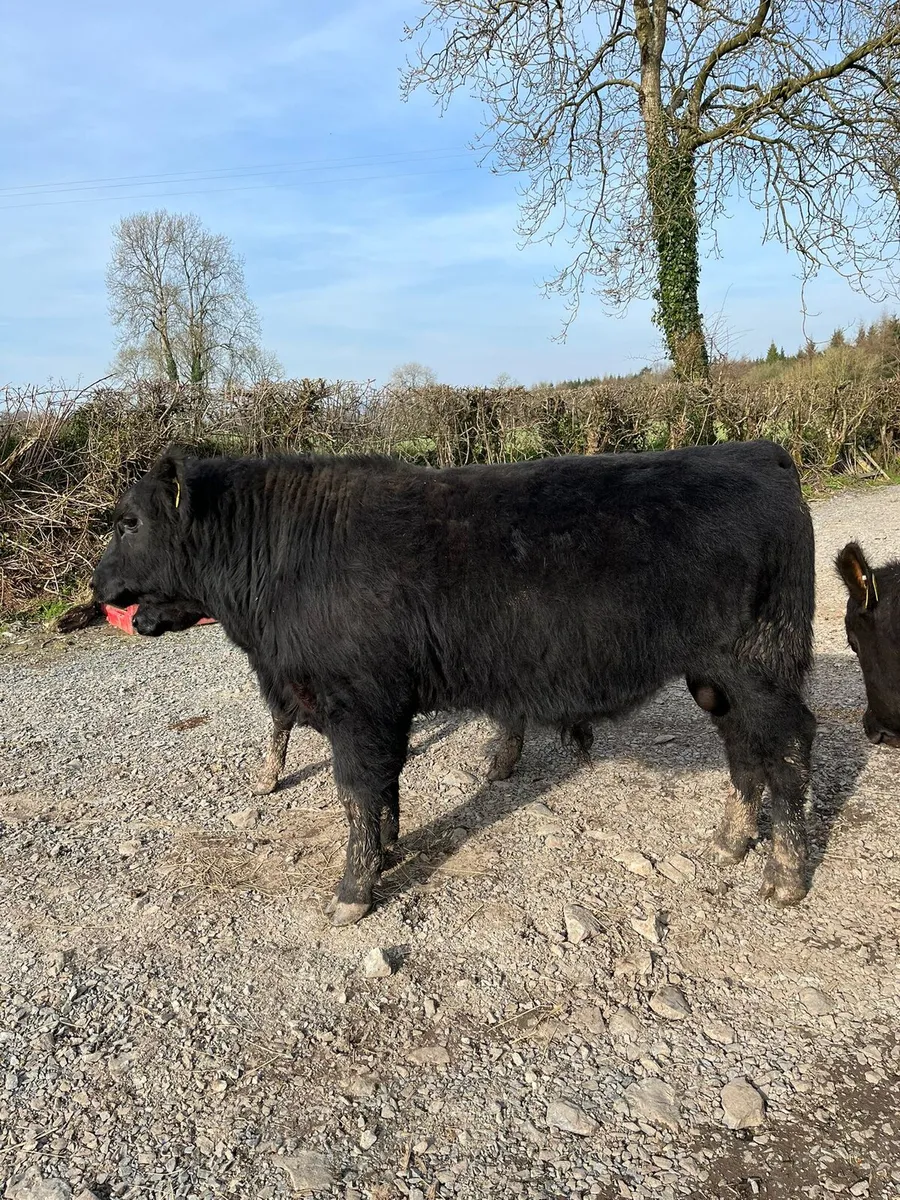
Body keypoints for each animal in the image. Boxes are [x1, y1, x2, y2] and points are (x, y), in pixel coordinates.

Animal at [92, 440, 816, 926]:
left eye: (130, 522)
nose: (95, 586)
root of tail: (755, 452)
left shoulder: (359, 705)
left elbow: (357, 791)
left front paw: (353, 893)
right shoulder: (377, 708)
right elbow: (383, 790)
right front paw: (387, 850)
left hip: (760, 664)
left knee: (787, 748)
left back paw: (784, 876)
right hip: (715, 676)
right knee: (744, 750)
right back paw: (730, 842)